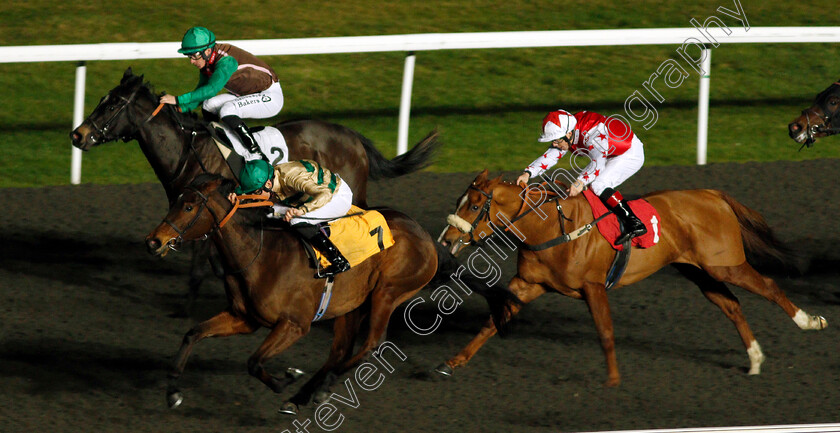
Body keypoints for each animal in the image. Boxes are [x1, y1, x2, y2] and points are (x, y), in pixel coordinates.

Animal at [71, 69, 440, 316]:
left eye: (113, 105)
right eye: (101, 100)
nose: (78, 135)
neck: (188, 152)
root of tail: (353, 137)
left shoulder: (205, 210)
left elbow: (198, 267)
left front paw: (188, 306)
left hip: (351, 195)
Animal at [143, 174, 520, 414]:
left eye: (188, 208)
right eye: (175, 201)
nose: (154, 241)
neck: (259, 254)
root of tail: (427, 237)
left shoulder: (294, 324)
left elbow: (254, 362)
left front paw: (284, 379)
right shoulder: (243, 317)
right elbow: (193, 334)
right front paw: (173, 392)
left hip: (388, 292)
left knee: (370, 344)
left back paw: (319, 388)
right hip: (351, 305)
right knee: (340, 351)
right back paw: (303, 395)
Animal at [440, 170, 828, 386]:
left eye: (473, 206)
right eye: (458, 200)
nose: (446, 239)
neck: (551, 227)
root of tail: (712, 194)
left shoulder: (593, 286)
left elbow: (606, 332)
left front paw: (612, 381)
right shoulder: (529, 284)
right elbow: (491, 322)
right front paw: (452, 363)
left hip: (725, 264)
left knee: (770, 286)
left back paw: (809, 321)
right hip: (697, 271)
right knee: (731, 305)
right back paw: (755, 358)